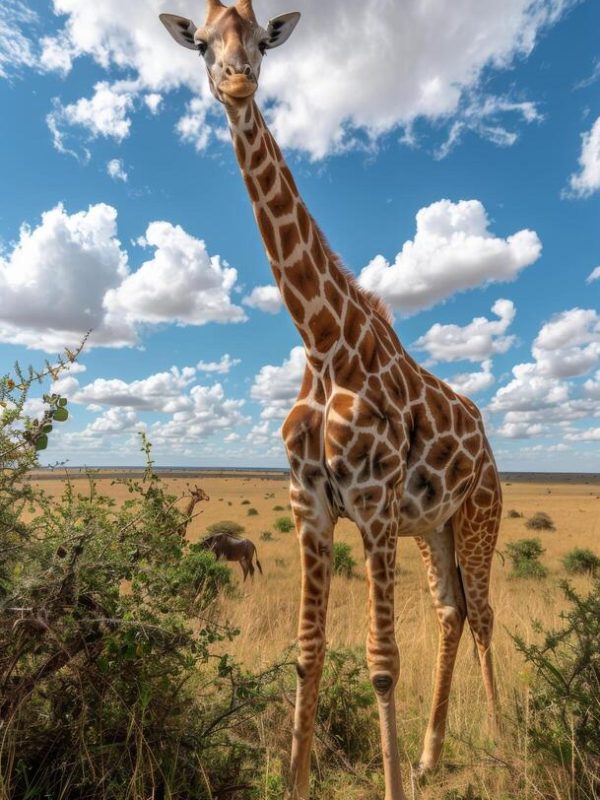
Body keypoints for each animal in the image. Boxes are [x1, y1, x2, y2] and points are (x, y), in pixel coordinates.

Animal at [160, 4, 502, 799]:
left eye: (260, 40)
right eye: (201, 43)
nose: (236, 81)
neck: (323, 346)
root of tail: (490, 449)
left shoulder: (372, 507)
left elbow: (381, 665)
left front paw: (392, 783)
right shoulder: (309, 507)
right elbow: (307, 651)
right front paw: (297, 779)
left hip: (479, 518)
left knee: (484, 615)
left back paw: (511, 745)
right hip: (434, 527)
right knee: (451, 611)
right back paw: (432, 755)